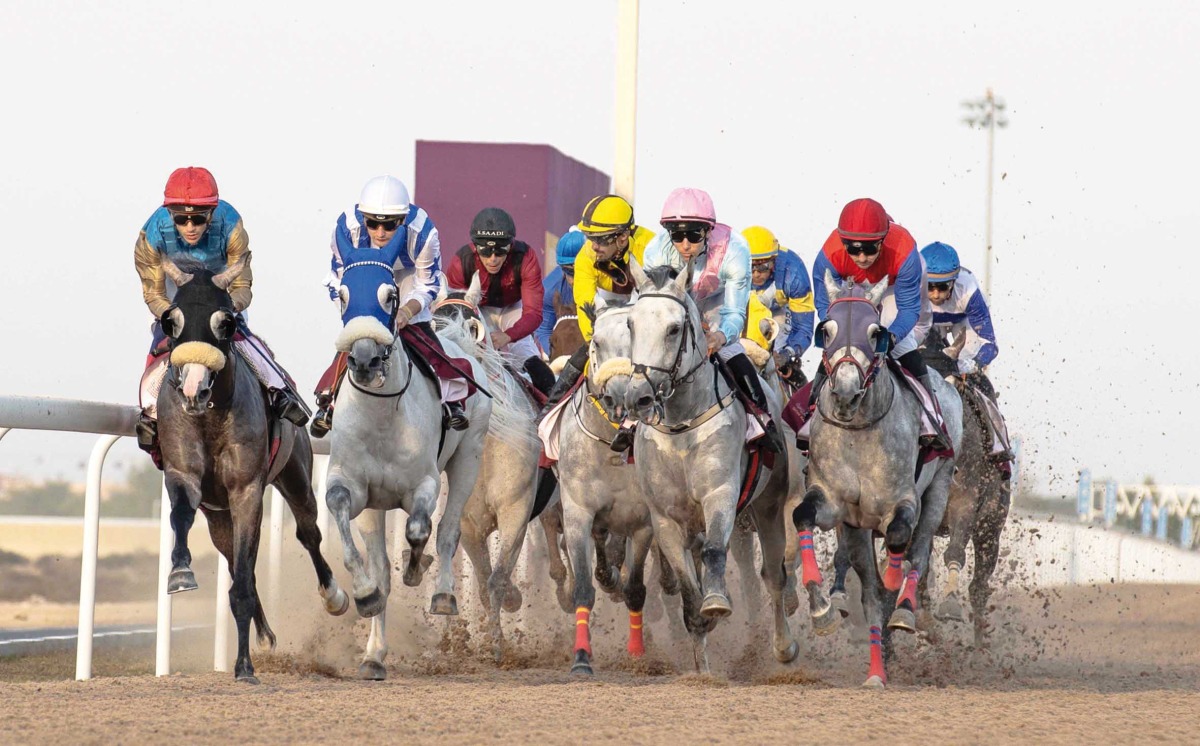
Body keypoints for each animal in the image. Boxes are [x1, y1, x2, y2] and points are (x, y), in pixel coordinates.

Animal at [152, 254, 345, 686]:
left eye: (226, 322)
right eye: (172, 321)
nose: (193, 389)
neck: (210, 418)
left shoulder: (246, 490)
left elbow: (242, 583)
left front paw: (244, 667)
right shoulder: (185, 474)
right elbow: (182, 515)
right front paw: (180, 571)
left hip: (295, 476)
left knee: (307, 534)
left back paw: (334, 596)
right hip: (219, 517)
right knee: (240, 562)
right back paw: (265, 632)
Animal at [324, 242, 492, 681]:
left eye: (390, 296)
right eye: (342, 295)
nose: (364, 360)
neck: (381, 414)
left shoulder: (425, 483)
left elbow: (419, 529)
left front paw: (417, 569)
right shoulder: (353, 486)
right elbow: (345, 521)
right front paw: (365, 595)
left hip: (469, 459)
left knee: (448, 529)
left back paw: (443, 594)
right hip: (377, 506)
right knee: (383, 565)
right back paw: (374, 653)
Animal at [432, 278, 544, 662]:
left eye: (471, 327)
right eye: (431, 326)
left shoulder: (516, 512)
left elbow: (496, 578)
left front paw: (496, 643)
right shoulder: (468, 523)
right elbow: (482, 581)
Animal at [619, 265, 796, 676]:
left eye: (673, 329)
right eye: (631, 324)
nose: (638, 397)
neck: (681, 427)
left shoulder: (721, 495)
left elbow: (717, 551)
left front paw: (715, 601)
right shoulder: (665, 518)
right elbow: (687, 592)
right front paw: (702, 665)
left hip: (769, 503)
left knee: (774, 576)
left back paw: (783, 647)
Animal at [796, 274, 964, 690]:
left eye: (876, 333)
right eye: (827, 330)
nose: (844, 392)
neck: (859, 432)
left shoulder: (902, 500)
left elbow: (900, 539)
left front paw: (895, 583)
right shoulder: (835, 504)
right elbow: (802, 516)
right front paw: (821, 609)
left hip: (939, 489)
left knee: (918, 552)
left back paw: (904, 610)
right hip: (857, 529)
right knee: (871, 597)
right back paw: (876, 670)